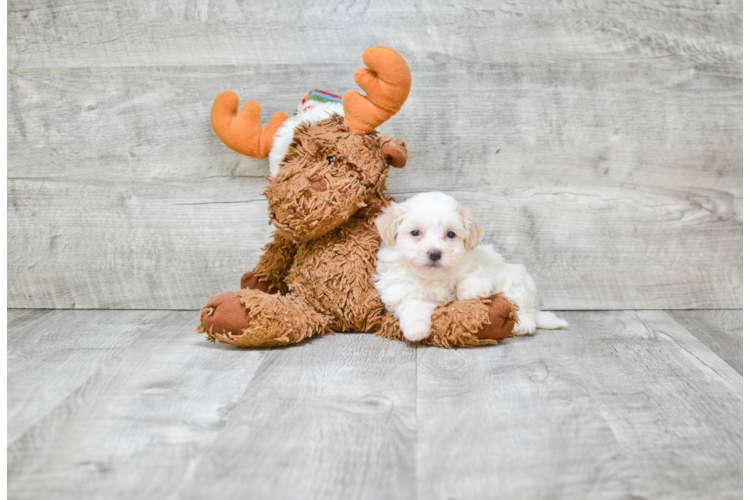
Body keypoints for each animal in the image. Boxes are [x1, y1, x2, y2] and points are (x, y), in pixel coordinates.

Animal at [376, 193, 568, 342]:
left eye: (451, 234)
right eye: (415, 233)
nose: (435, 253)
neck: (433, 277)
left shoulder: (472, 266)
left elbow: (465, 281)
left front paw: (479, 288)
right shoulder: (400, 290)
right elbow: (413, 306)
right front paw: (416, 329)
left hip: (517, 282)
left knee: (524, 311)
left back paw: (523, 325)